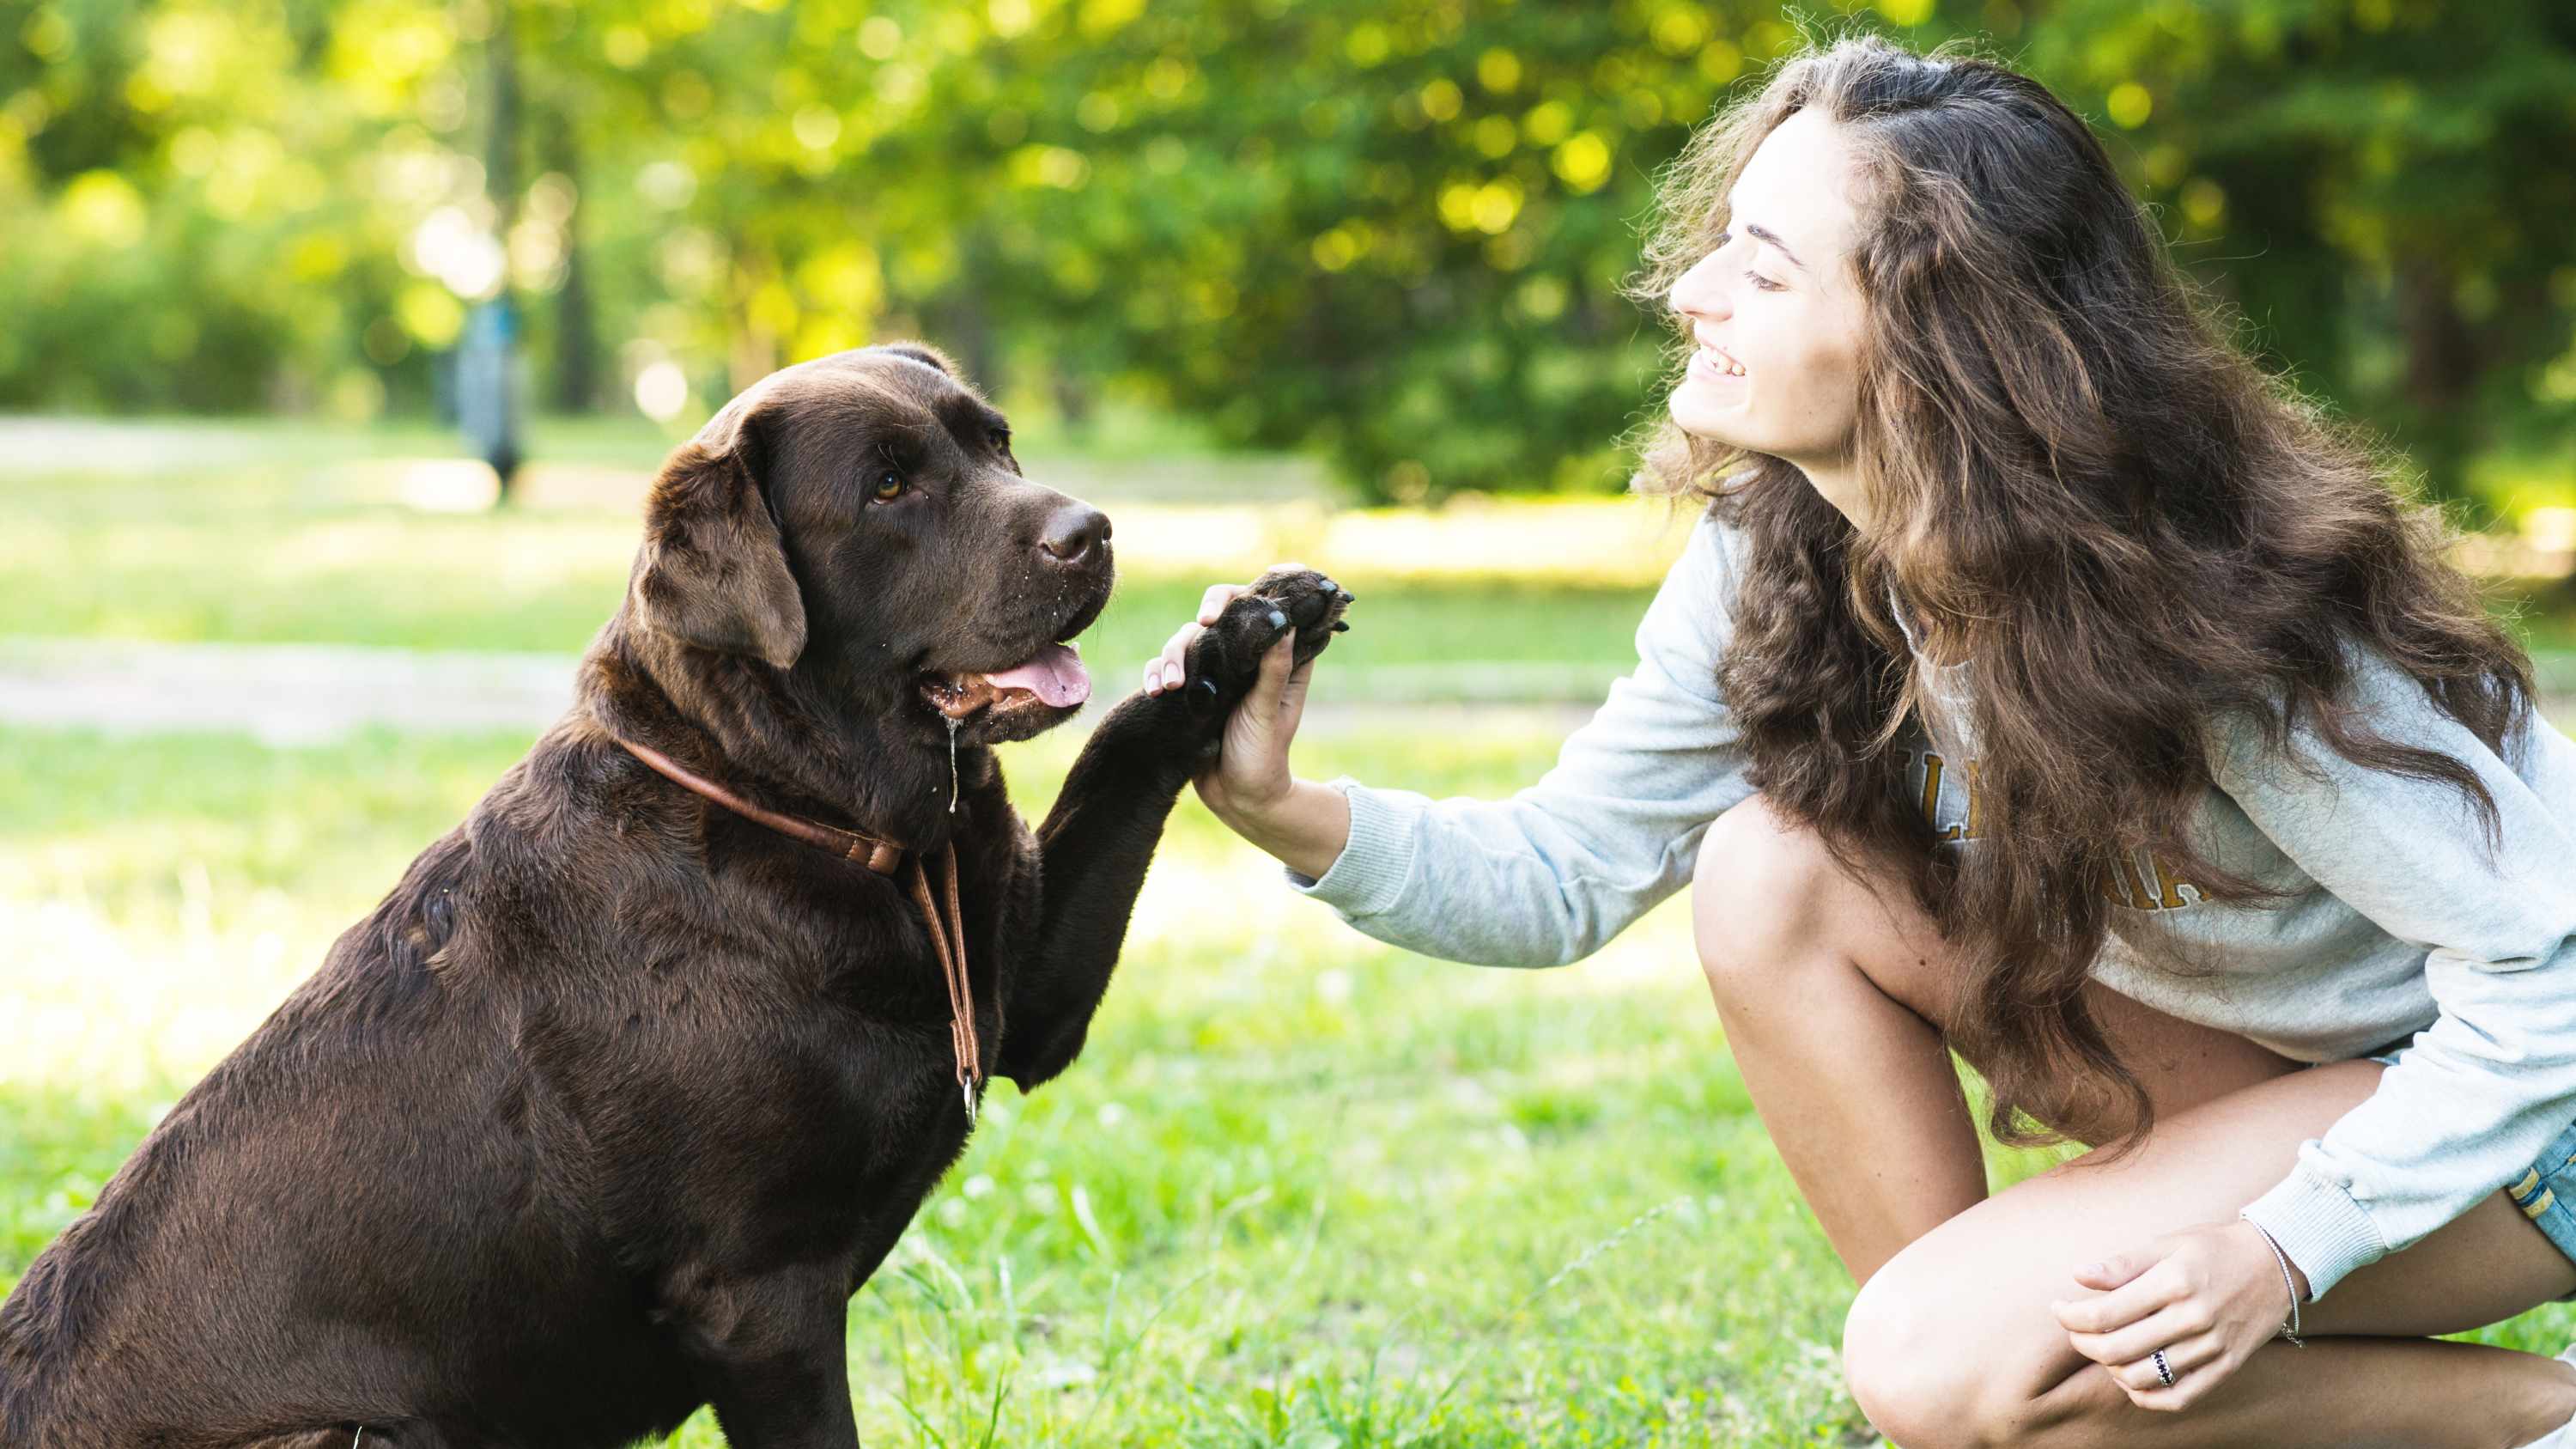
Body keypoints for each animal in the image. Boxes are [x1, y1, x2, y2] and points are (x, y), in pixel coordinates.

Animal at [0, 343, 1360, 1433]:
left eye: (997, 438)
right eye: (887, 487)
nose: (1094, 529)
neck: (807, 809)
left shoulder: (1021, 996)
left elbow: (1124, 741)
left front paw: (1244, 626)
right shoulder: (759, 1297)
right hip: (360, 1434)